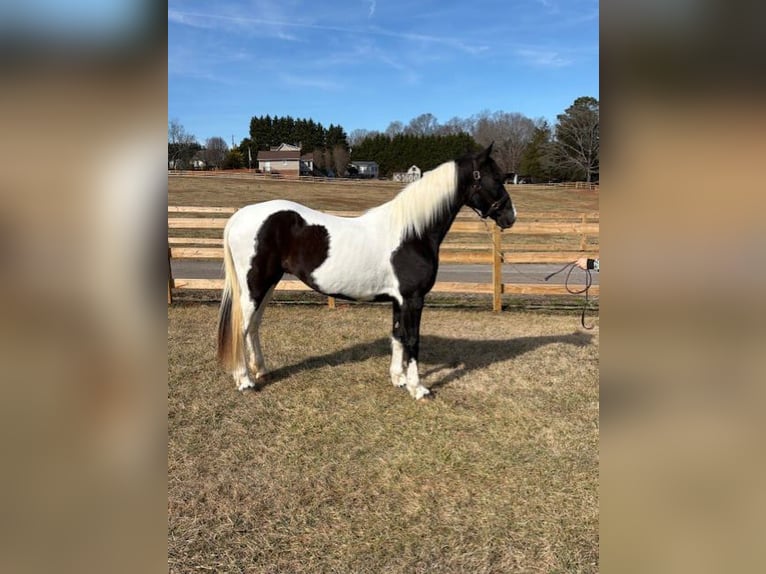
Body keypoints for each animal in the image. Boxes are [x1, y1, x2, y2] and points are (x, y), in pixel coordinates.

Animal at [216, 143, 516, 400]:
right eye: (496, 177)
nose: (510, 217)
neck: (412, 233)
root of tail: (240, 216)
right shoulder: (413, 299)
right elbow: (413, 340)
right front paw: (418, 388)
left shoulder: (399, 300)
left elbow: (397, 336)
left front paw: (398, 379)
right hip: (256, 285)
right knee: (241, 327)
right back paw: (245, 381)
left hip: (268, 284)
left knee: (253, 326)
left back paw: (261, 371)